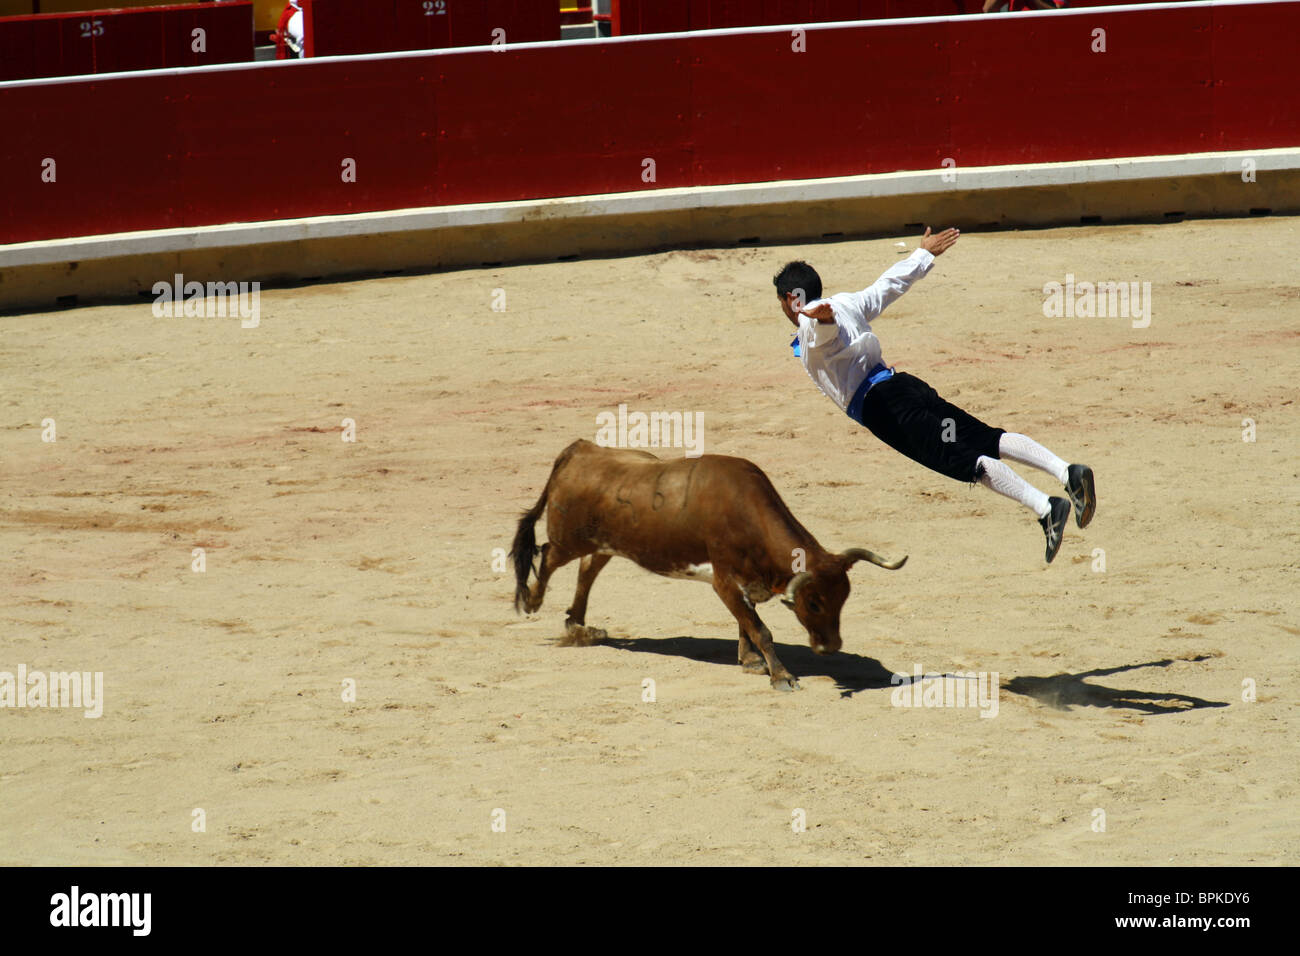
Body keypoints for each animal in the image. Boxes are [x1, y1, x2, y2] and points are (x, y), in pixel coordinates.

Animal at [506, 437, 904, 691]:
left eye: (843, 599)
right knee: (548, 555)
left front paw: (750, 661)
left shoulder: (747, 584)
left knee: (587, 570)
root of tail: (579, 450)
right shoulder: (724, 582)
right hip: (568, 539)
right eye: (815, 603)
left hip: (607, 543)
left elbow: (747, 624)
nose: (830, 647)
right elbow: (760, 629)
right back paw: (532, 601)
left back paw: (579, 626)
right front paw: (781, 676)